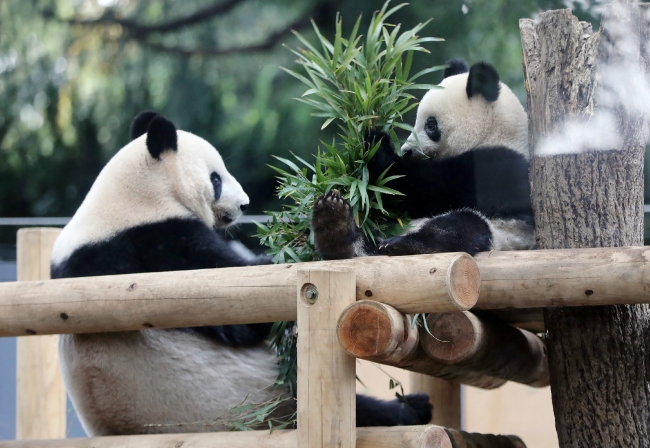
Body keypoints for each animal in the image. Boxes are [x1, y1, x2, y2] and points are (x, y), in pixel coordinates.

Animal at [50, 111, 430, 434]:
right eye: (216, 178)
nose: (245, 204)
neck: (133, 200)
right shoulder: (158, 247)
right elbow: (242, 309)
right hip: (261, 401)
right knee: (356, 411)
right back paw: (411, 409)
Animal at [312, 61, 536, 260]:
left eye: (430, 124)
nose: (406, 151)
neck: (495, 134)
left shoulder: (495, 165)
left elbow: (424, 189)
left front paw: (377, 145)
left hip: (505, 234)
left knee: (460, 226)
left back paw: (405, 245)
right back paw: (335, 226)